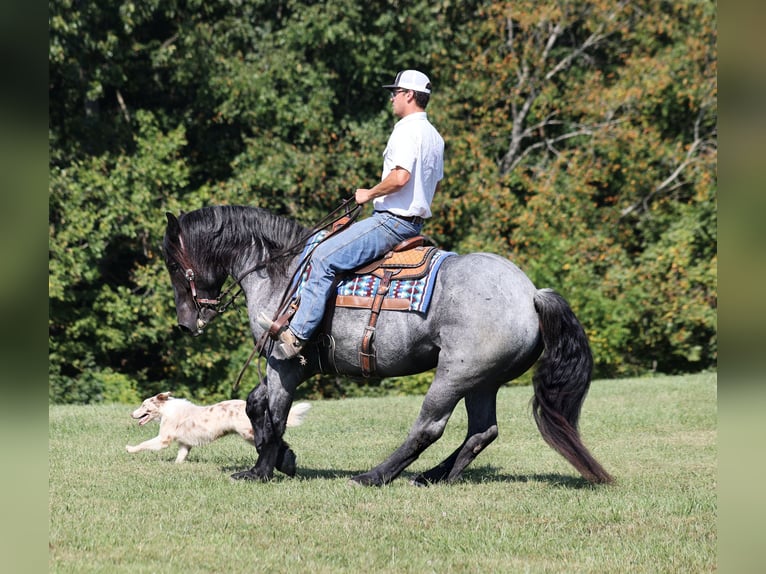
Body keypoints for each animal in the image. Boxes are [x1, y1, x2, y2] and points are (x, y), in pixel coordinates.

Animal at [126, 394, 312, 466]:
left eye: (143, 405)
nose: (131, 414)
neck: (166, 410)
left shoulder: (163, 439)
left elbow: (144, 444)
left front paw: (130, 448)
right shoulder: (184, 444)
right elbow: (181, 456)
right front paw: (176, 465)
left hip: (249, 433)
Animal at [162, 206, 612, 486]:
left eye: (172, 263)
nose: (186, 323)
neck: (284, 271)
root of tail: (532, 294)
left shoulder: (284, 362)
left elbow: (275, 414)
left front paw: (261, 469)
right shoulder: (296, 365)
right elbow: (257, 406)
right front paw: (283, 460)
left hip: (454, 375)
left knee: (429, 428)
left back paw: (374, 476)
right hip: (483, 381)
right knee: (482, 432)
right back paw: (432, 477)